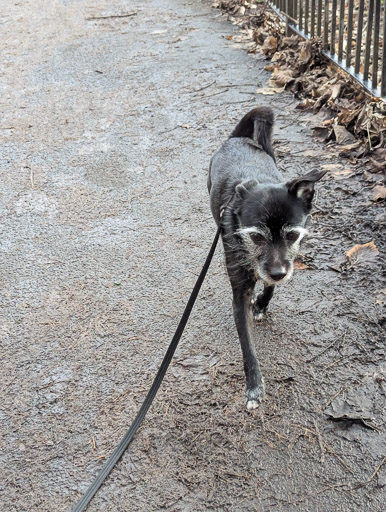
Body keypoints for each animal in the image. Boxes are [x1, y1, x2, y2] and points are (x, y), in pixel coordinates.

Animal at [208, 106, 326, 410]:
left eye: (293, 234)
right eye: (256, 236)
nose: (279, 273)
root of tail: (237, 138)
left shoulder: (279, 265)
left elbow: (270, 286)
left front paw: (262, 303)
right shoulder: (240, 292)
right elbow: (247, 345)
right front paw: (254, 386)